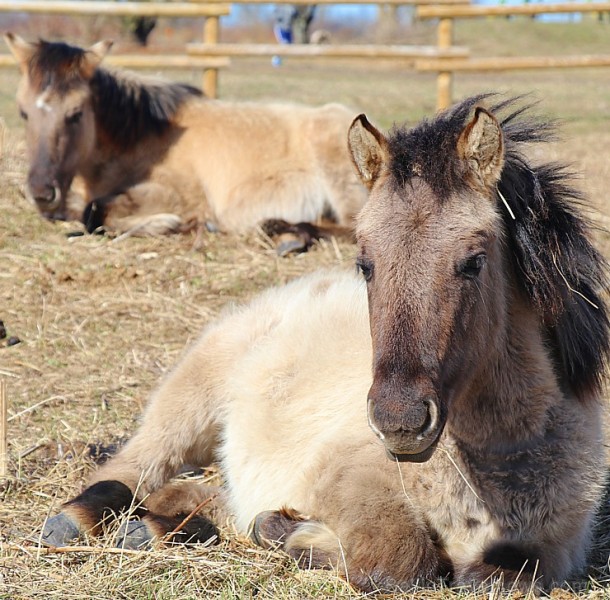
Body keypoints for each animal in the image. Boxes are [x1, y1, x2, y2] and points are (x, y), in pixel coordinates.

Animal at [5, 31, 366, 244]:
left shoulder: (178, 194)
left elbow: (94, 213)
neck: (142, 136)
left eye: (76, 113)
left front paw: (167, 224)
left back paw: (282, 229)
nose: (42, 192)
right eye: (23, 112)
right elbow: (77, 210)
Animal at [40, 95, 604, 592]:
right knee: (135, 467)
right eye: (365, 263)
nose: (400, 423)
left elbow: (499, 575)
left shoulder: (554, 549)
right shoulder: (346, 481)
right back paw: (76, 520)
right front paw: (293, 534)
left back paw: (157, 529)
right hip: (191, 398)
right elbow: (398, 560)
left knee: (202, 492)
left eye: (474, 262)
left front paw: (281, 528)